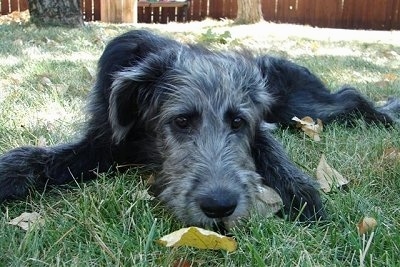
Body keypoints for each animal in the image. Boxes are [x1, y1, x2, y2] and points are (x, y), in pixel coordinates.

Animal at [0, 30, 400, 229]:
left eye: (237, 122)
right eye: (180, 121)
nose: (219, 206)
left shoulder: (259, 124)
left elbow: (271, 151)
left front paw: (302, 194)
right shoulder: (105, 142)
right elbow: (46, 157)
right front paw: (10, 172)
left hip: (304, 108)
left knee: (349, 98)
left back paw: (384, 115)